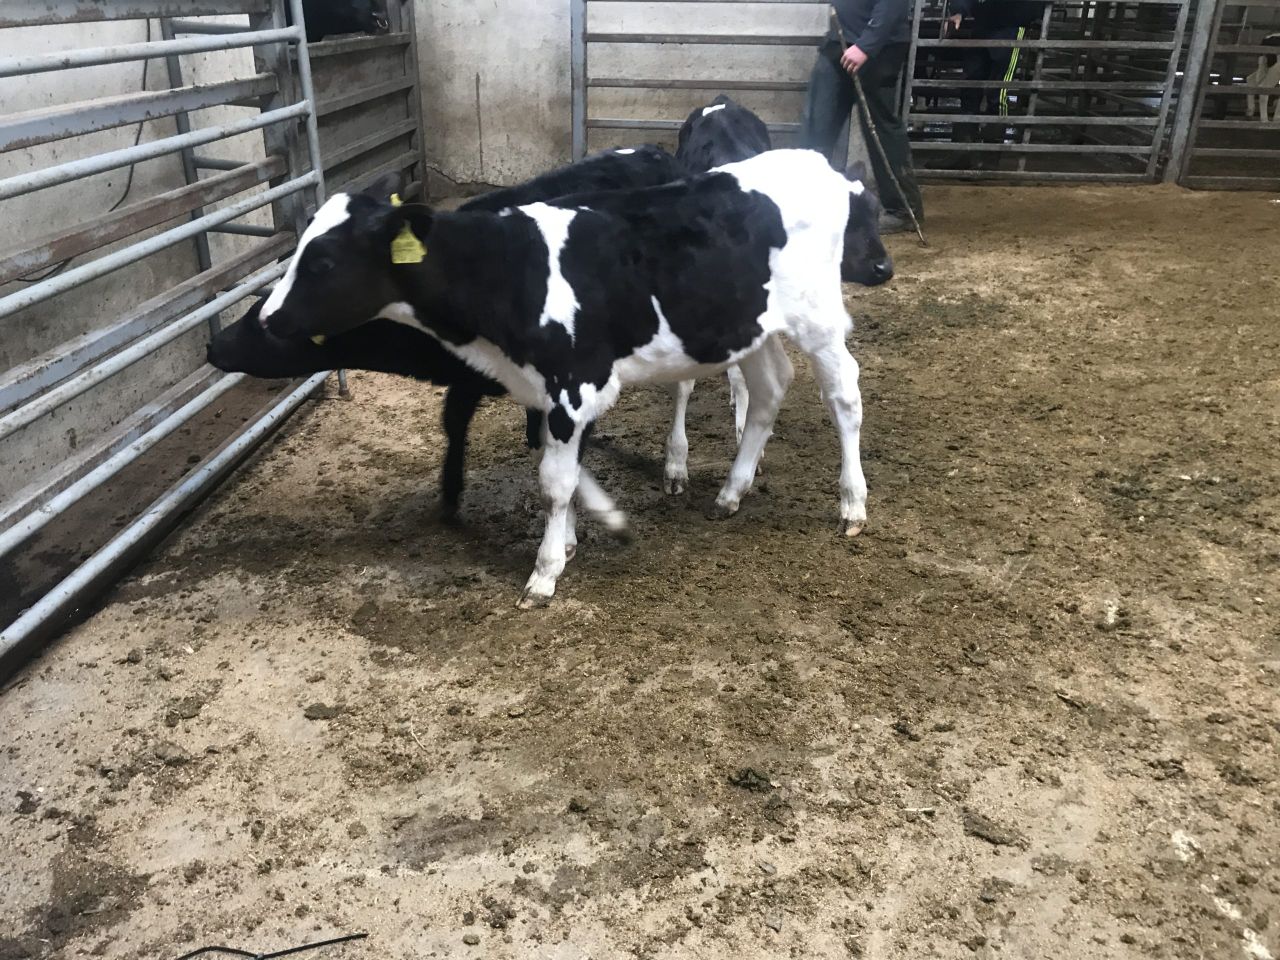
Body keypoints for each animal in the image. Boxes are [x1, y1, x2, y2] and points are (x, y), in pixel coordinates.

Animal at [254, 148, 893, 608]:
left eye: (323, 261)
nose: (267, 319)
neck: (511, 269)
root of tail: (817, 162)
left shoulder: (573, 381)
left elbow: (554, 481)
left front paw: (544, 572)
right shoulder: (544, 389)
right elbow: (561, 467)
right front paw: (574, 538)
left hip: (819, 318)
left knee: (845, 395)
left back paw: (852, 506)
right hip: (749, 326)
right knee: (768, 391)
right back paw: (731, 492)